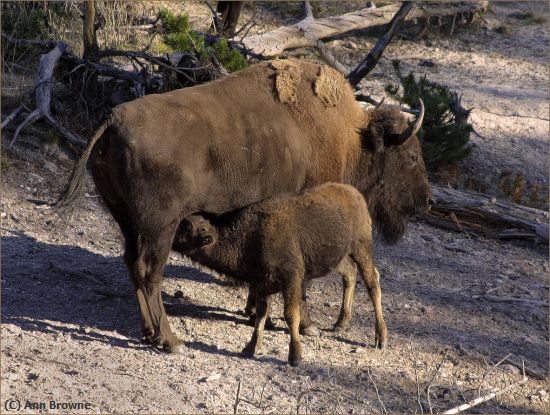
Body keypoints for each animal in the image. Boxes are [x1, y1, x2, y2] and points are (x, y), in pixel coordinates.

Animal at [177, 184, 388, 366]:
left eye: (187, 228)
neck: (251, 234)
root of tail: (354, 193)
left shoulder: (291, 282)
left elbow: (290, 315)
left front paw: (295, 356)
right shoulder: (262, 285)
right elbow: (261, 315)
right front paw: (250, 348)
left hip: (361, 248)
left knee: (372, 282)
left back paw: (381, 338)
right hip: (337, 257)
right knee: (350, 273)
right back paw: (340, 323)